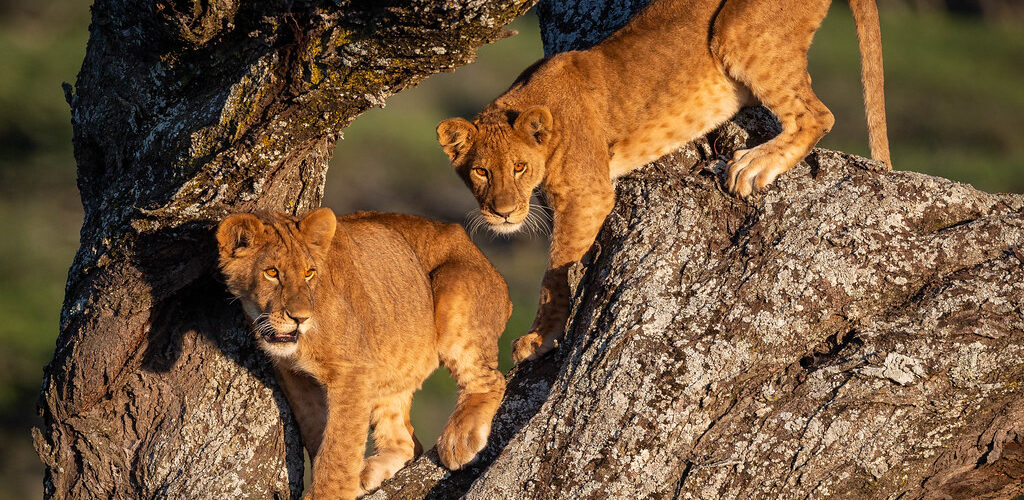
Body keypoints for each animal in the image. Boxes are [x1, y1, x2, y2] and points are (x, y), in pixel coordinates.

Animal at [216, 208, 511, 499]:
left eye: (309, 273)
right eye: (271, 272)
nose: (300, 318)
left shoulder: (352, 372)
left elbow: (339, 447)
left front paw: (327, 494)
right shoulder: (294, 376)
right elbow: (317, 431)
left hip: (453, 290)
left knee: (491, 380)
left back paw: (459, 439)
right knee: (406, 442)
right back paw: (366, 472)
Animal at [437, 0, 890, 363]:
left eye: (518, 167)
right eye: (480, 171)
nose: (503, 213)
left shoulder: (588, 194)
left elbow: (555, 271)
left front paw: (539, 337)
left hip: (737, 31)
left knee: (817, 115)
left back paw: (753, 166)